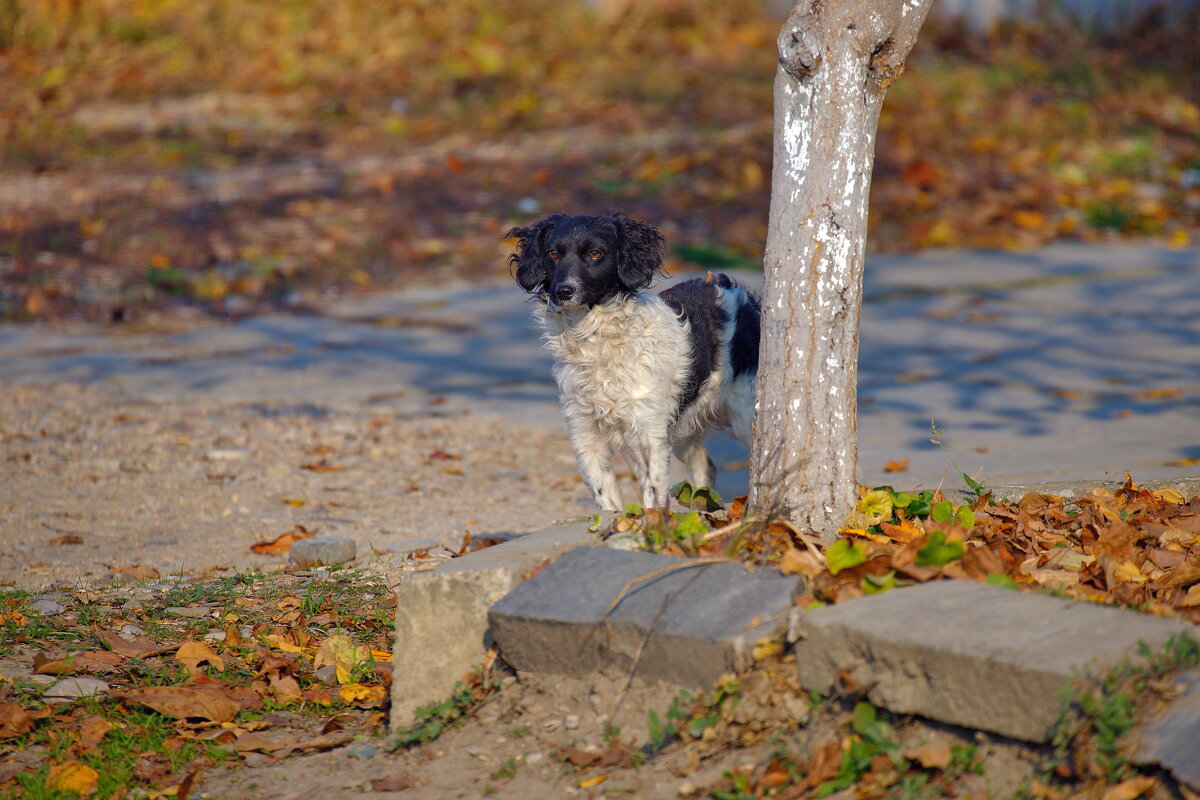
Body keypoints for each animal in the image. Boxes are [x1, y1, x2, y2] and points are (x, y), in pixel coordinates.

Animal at [508, 212, 758, 510]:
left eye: (595, 253)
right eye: (553, 254)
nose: (563, 291)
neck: (596, 343)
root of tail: (727, 284)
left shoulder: (648, 434)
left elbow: (652, 496)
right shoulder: (586, 434)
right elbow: (607, 502)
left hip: (742, 414)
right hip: (679, 426)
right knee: (706, 467)